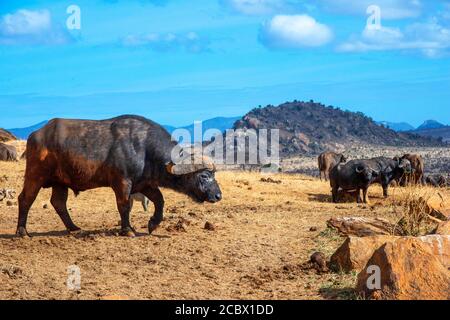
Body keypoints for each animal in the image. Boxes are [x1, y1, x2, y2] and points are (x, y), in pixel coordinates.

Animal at [16, 115, 223, 238]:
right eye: (204, 175)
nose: (218, 195)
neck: (144, 149)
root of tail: (36, 135)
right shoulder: (122, 183)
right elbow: (123, 205)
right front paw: (128, 230)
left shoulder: (144, 184)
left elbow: (159, 200)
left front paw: (153, 224)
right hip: (35, 175)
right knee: (25, 198)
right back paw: (23, 231)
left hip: (60, 182)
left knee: (58, 203)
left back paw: (74, 228)